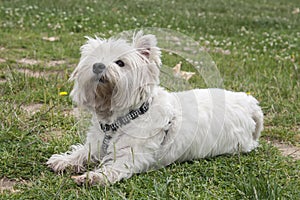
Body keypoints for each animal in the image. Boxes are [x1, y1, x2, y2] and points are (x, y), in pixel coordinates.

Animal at [46, 31, 262, 186]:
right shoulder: (98, 142)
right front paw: (64, 160)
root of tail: (250, 104)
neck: (123, 117)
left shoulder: (131, 155)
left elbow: (114, 167)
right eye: (92, 59)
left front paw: (93, 177)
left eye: (120, 63)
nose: (98, 66)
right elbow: (84, 151)